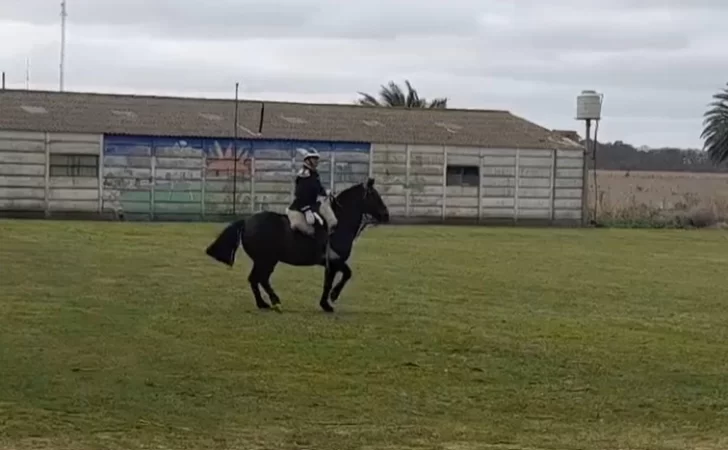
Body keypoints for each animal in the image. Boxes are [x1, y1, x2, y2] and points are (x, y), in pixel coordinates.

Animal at [202, 177, 390, 312]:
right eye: (373, 195)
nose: (386, 215)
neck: (339, 222)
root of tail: (246, 221)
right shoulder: (335, 261)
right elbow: (346, 275)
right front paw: (333, 297)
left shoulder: (331, 264)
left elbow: (328, 282)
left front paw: (325, 303)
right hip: (266, 260)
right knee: (259, 278)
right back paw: (273, 301)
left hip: (265, 261)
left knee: (257, 279)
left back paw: (264, 303)